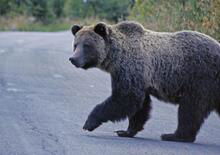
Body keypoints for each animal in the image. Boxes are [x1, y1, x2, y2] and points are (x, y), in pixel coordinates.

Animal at [69, 21, 220, 142]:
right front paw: (126, 131)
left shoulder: (130, 68)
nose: (73, 59)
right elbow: (140, 106)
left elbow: (125, 98)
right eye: (75, 45)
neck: (114, 57)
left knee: (190, 108)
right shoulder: (139, 78)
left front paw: (89, 122)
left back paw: (174, 135)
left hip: (200, 78)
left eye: (86, 45)